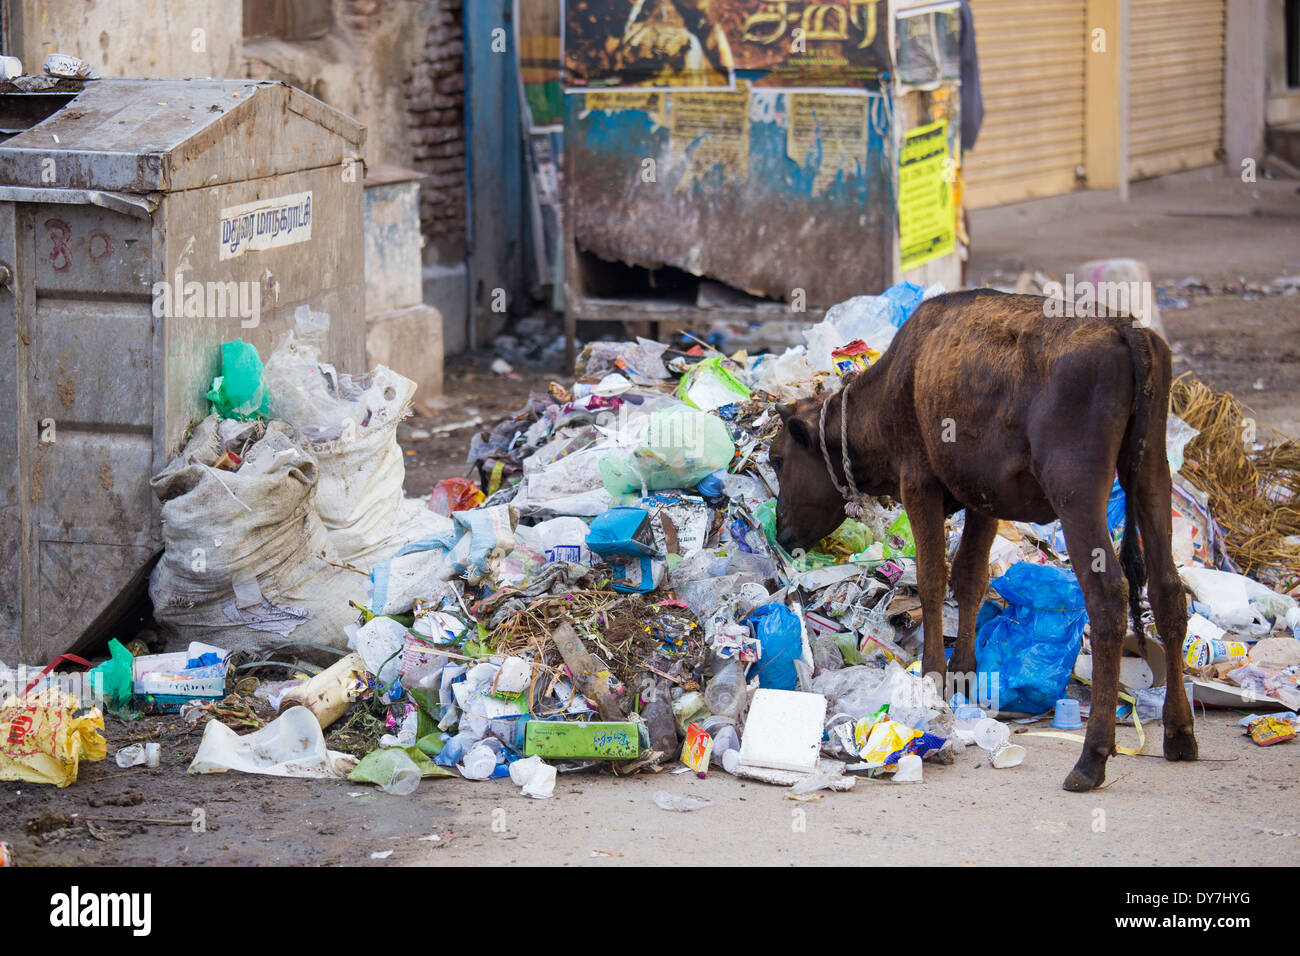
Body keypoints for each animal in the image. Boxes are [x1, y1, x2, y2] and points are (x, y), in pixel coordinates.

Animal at [769, 290, 1196, 790]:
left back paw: (1092, 757)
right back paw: (1180, 732)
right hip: (1150, 475)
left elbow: (933, 578)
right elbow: (970, 578)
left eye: (777, 459)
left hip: (1076, 491)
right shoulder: (984, 499)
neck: (895, 385)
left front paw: (934, 675)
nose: (781, 530)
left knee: (1109, 596)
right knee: (1168, 590)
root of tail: (1126, 329)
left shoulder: (919, 483)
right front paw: (963, 674)